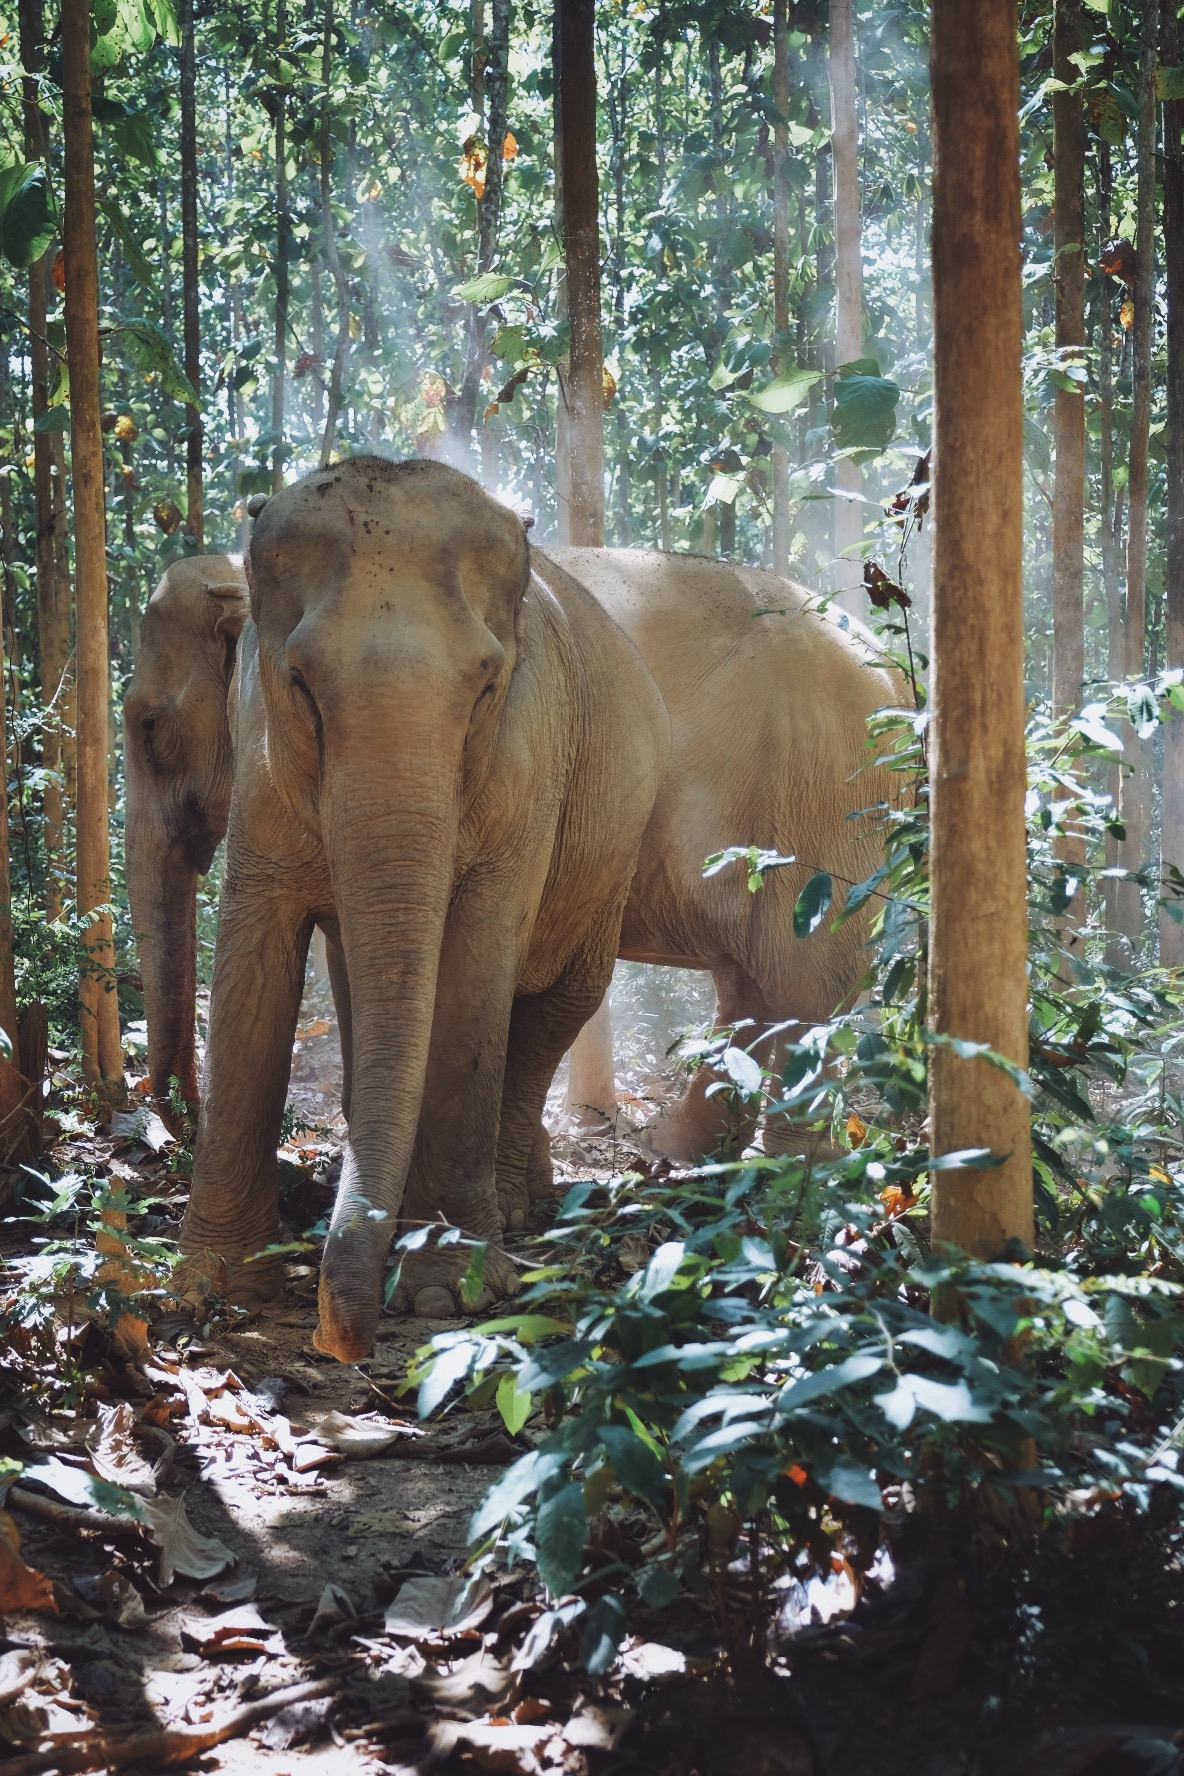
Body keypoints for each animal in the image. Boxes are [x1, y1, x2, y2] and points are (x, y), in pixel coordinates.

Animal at [179, 458, 670, 1356]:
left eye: (486, 686)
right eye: (301, 684)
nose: (338, 1340)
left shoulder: (526, 771)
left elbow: (475, 967)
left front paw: (448, 1295)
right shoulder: (260, 764)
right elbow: (252, 955)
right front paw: (210, 1284)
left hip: (614, 849)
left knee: (555, 1010)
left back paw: (513, 1208)